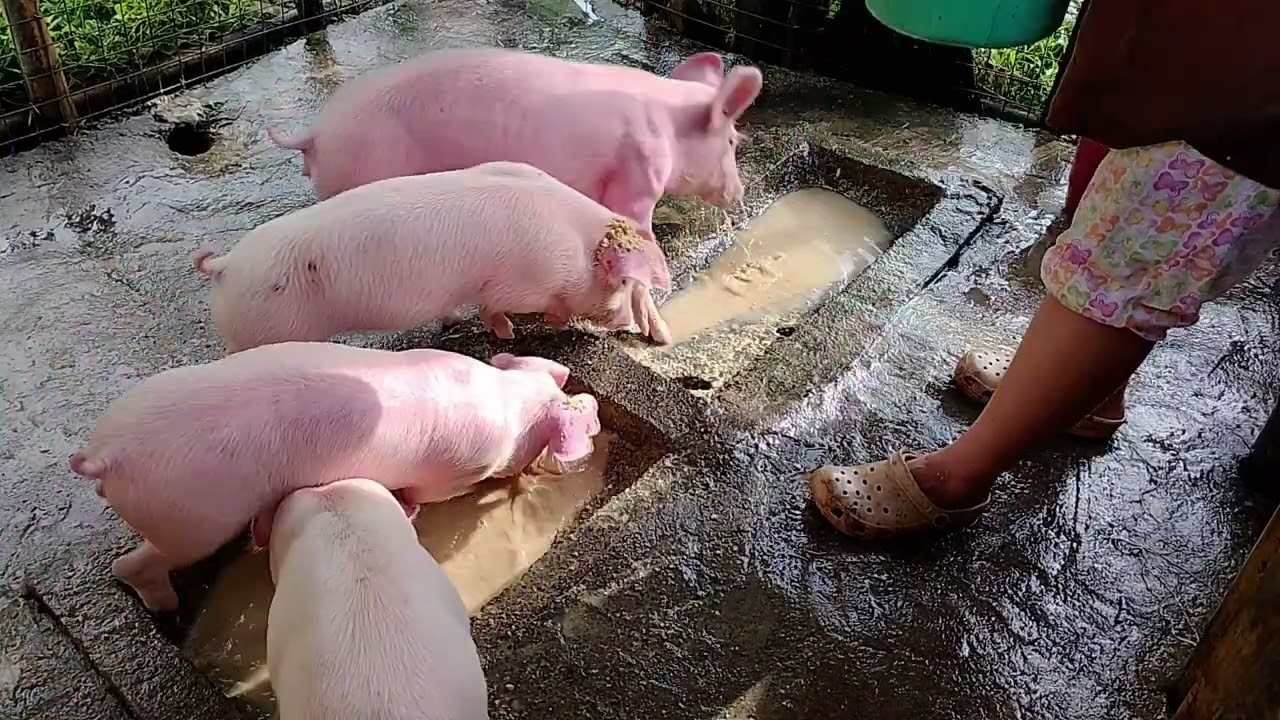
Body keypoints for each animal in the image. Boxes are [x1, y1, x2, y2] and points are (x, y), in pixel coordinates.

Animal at [69, 341, 601, 612]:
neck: (509, 410)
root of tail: (106, 454)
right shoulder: (451, 474)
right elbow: (427, 494)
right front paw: (411, 506)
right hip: (192, 519)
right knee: (133, 565)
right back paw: (165, 606)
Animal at [193, 161, 674, 352]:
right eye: (622, 283)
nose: (633, 328)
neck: (575, 246)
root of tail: (224, 266)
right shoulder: (516, 284)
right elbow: (495, 308)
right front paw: (509, 335)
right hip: (267, 329)